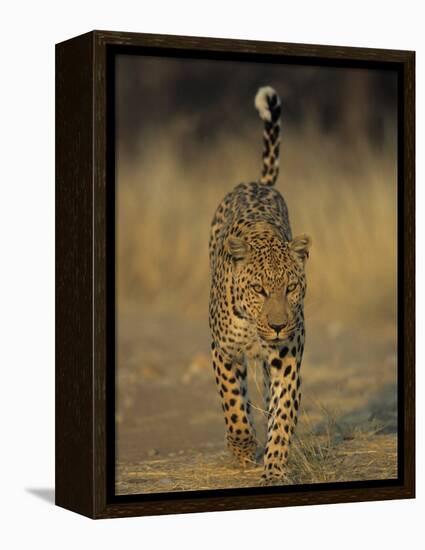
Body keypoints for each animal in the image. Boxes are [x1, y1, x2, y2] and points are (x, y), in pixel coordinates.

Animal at [209, 84, 312, 486]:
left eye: (291, 288)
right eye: (259, 291)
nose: (279, 325)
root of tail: (257, 183)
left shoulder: (287, 357)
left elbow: (282, 414)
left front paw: (275, 468)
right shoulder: (223, 350)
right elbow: (232, 403)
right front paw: (242, 447)